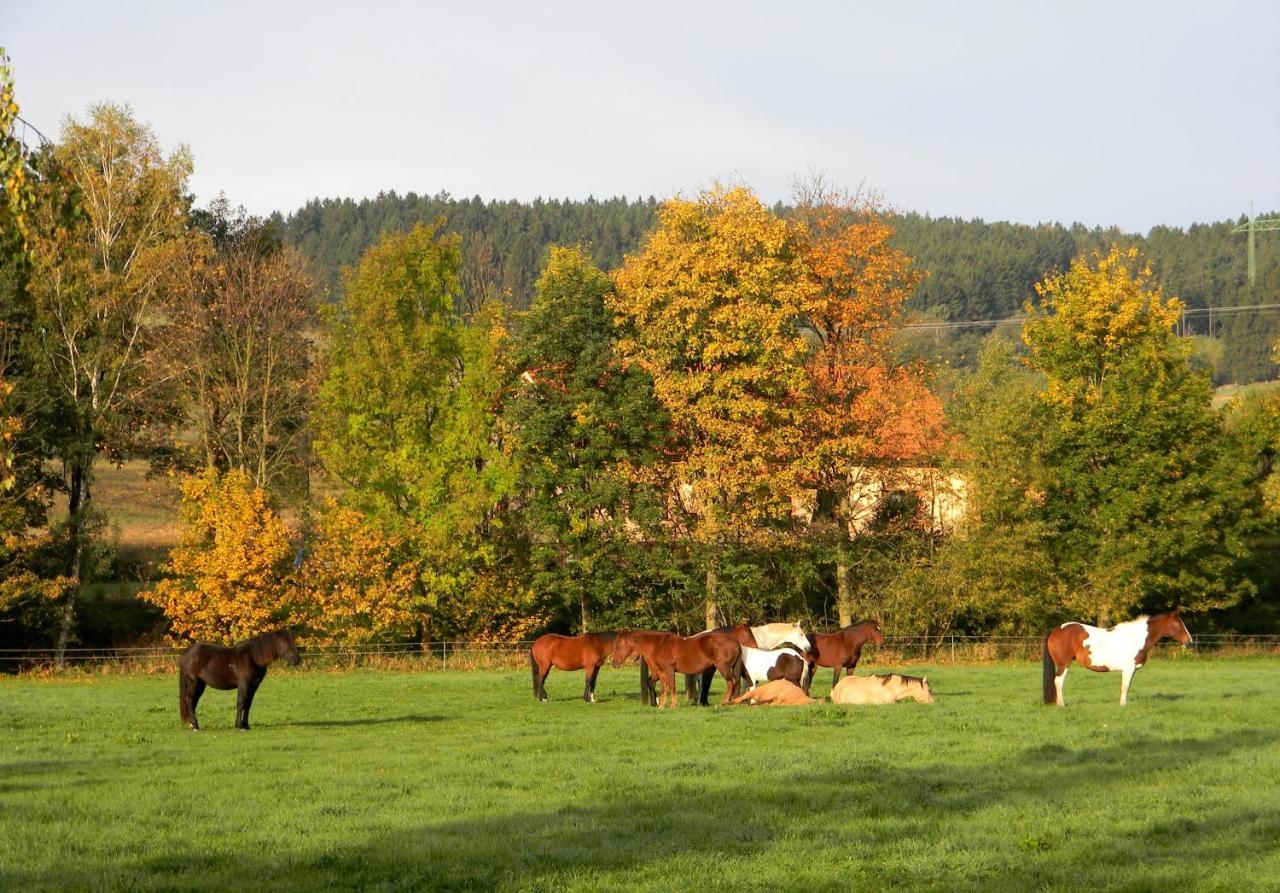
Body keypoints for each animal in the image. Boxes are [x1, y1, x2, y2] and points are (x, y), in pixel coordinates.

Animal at [614, 629, 747, 706]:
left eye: (619, 645)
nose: (614, 663)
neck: (659, 645)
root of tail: (735, 642)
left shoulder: (669, 669)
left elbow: (672, 686)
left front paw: (673, 705)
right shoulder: (662, 672)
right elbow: (663, 687)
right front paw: (662, 705)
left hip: (723, 668)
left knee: (731, 682)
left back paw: (724, 702)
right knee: (735, 683)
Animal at [1039, 608, 1187, 706]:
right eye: (1177, 623)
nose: (1189, 640)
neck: (1136, 637)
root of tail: (1056, 630)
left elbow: (1127, 686)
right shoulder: (1128, 668)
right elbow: (1125, 686)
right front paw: (1122, 705)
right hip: (1063, 665)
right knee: (1058, 682)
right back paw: (1061, 705)